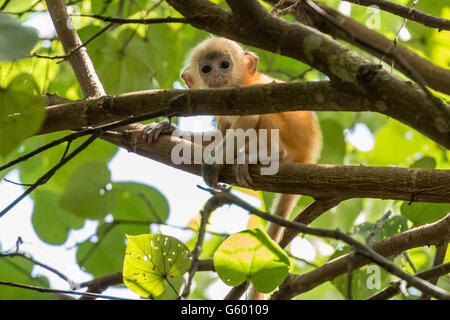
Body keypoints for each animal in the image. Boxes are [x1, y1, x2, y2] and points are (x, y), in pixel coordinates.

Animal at [146, 37, 322, 242]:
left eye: (224, 65)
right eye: (206, 69)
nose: (216, 75)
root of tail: (309, 156)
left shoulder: (247, 92)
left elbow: (248, 119)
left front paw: (212, 166)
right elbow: (219, 136)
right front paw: (166, 128)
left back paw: (272, 154)